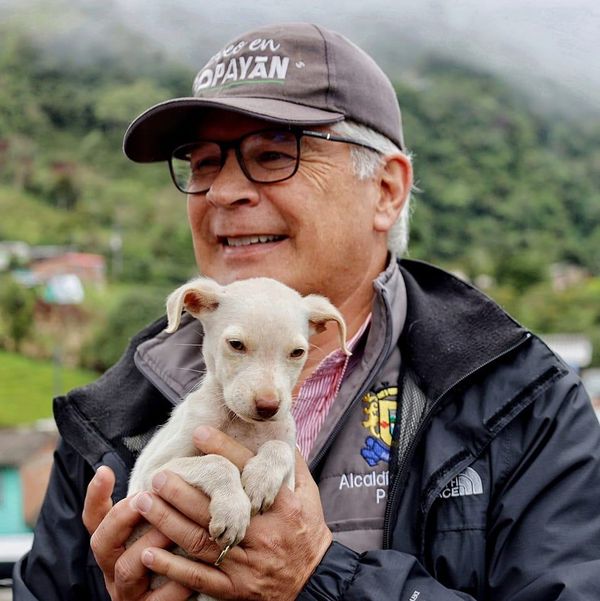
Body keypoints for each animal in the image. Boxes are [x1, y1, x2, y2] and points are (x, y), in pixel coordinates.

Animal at [129, 276, 350, 596]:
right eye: (236, 345)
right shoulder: (151, 475)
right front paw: (233, 510)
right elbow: (218, 462)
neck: (244, 426)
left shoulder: (290, 469)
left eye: (297, 352)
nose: (268, 406)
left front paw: (260, 480)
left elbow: (279, 447)